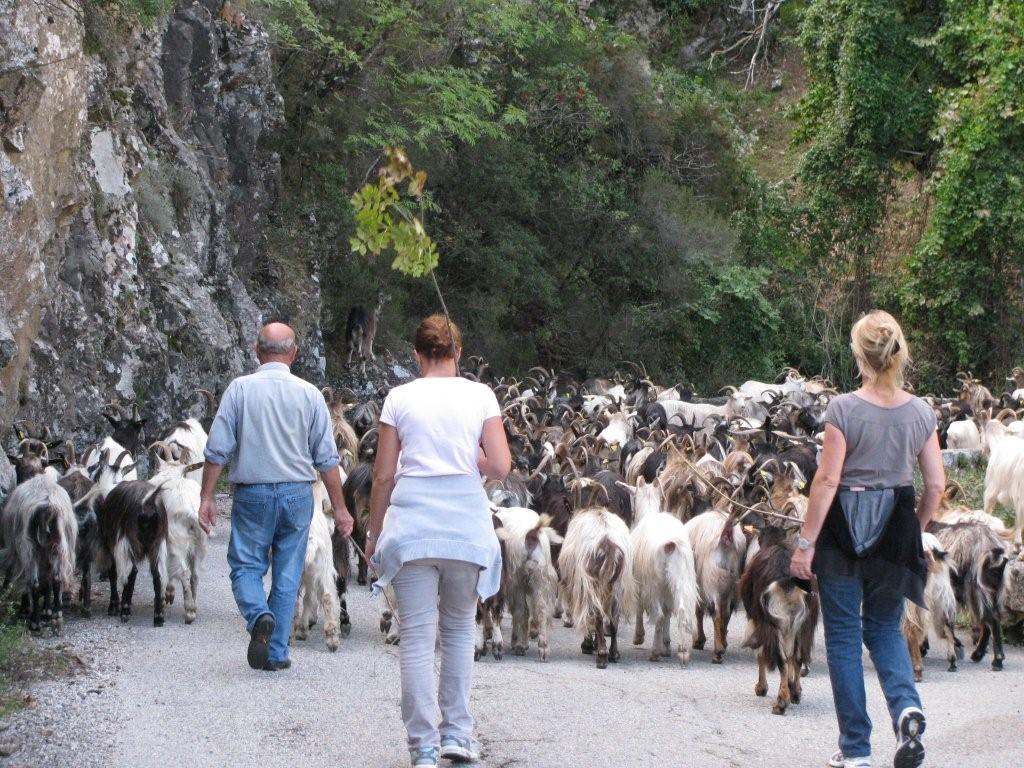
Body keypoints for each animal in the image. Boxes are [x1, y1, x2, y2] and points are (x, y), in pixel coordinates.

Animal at [557, 505, 626, 667]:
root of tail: (608, 544)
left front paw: (588, 644)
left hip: (592, 584)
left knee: (595, 614)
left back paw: (601, 655)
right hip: (616, 585)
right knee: (614, 618)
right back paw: (614, 653)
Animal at [741, 528, 819, 716]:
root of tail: (788, 582)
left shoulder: (756, 619)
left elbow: (761, 654)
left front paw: (761, 688)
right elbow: (792, 656)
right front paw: (793, 689)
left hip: (772, 623)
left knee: (781, 658)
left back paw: (781, 703)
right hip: (804, 625)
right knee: (797, 656)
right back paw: (795, 693)